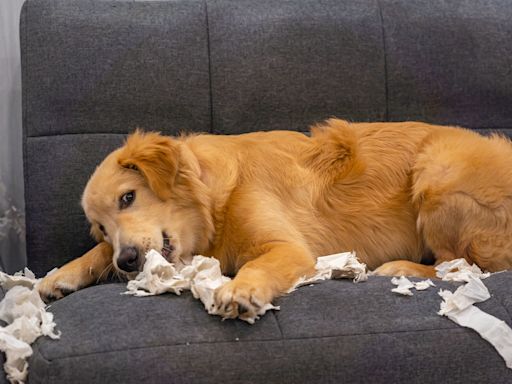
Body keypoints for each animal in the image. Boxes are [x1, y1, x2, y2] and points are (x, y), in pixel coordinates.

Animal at [38, 121, 512, 318]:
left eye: (128, 197)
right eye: (101, 227)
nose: (129, 262)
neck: (216, 199)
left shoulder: (289, 249)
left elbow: (258, 265)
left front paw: (241, 290)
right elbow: (96, 254)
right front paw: (59, 276)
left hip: (437, 170)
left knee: (464, 265)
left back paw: (400, 267)